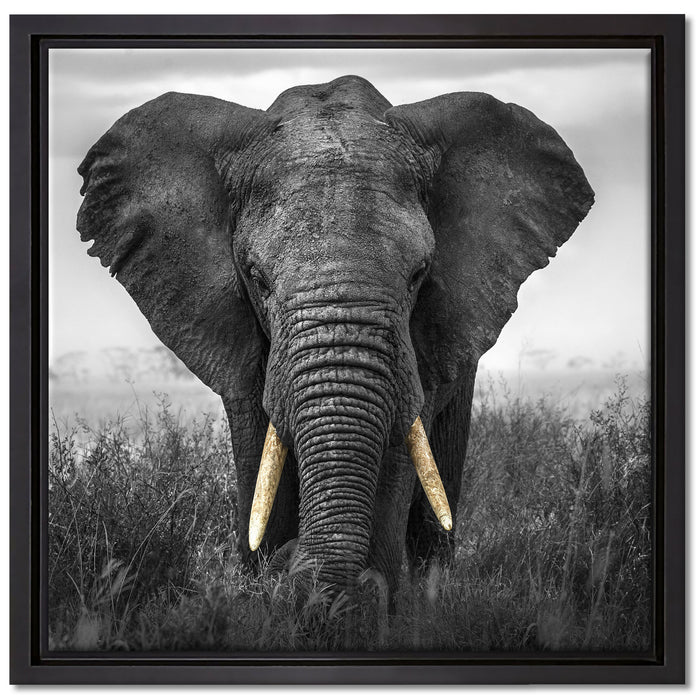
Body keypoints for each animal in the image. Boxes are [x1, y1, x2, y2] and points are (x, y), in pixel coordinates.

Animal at [77, 75, 593, 597]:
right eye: (257, 278)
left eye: (418, 275)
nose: (292, 563)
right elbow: (258, 451)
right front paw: (267, 586)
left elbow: (398, 448)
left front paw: (363, 598)